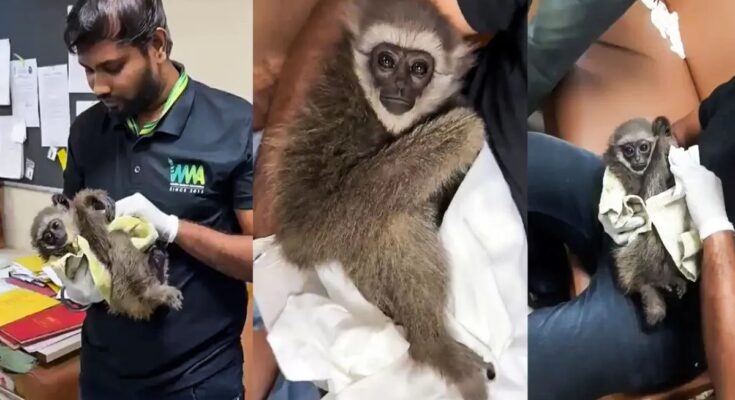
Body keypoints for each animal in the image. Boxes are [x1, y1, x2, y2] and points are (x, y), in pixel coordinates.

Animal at [31, 190, 182, 320]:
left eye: (55, 225)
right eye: (47, 237)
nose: (55, 238)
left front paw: (87, 199)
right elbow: (101, 249)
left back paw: (157, 262)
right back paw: (155, 287)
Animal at [270, 0, 490, 398]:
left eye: (419, 68)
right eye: (385, 61)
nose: (399, 85)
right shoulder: (333, 110)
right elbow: (304, 229)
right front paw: (461, 134)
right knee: (395, 218)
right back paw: (431, 345)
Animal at [603, 116, 688, 326]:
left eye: (643, 147)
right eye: (628, 150)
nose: (637, 159)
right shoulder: (620, 171)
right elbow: (645, 203)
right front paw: (662, 139)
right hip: (628, 261)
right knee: (651, 231)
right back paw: (655, 281)